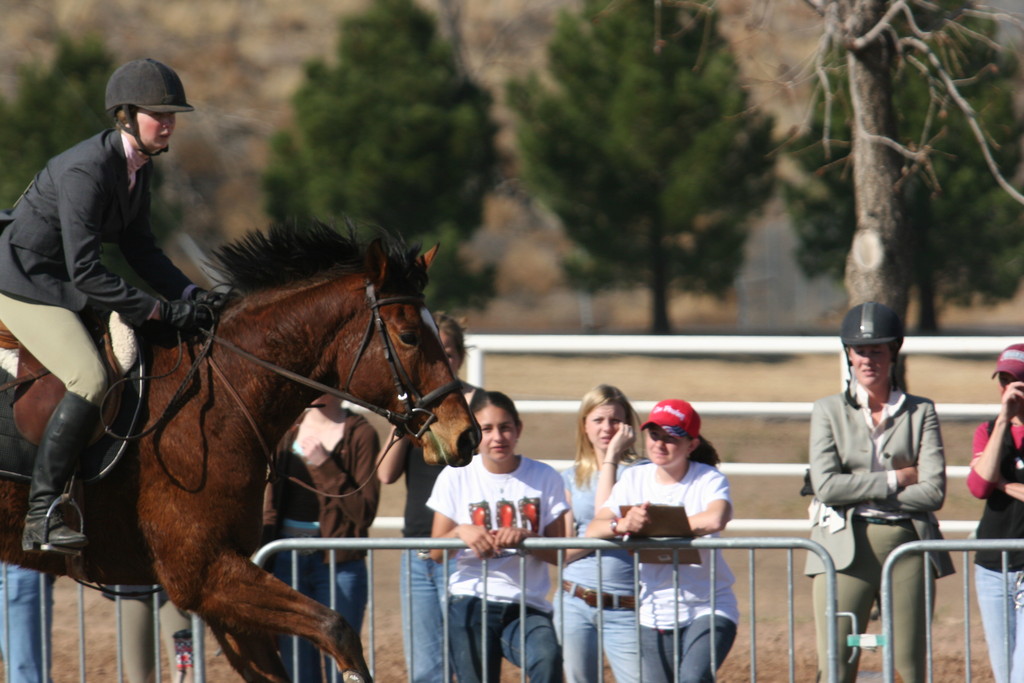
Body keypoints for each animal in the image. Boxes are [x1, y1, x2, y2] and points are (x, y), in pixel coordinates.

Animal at [0, 222, 477, 679]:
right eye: (409, 336)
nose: (466, 436)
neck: (215, 398)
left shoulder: (224, 588)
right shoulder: (206, 575)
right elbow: (336, 628)